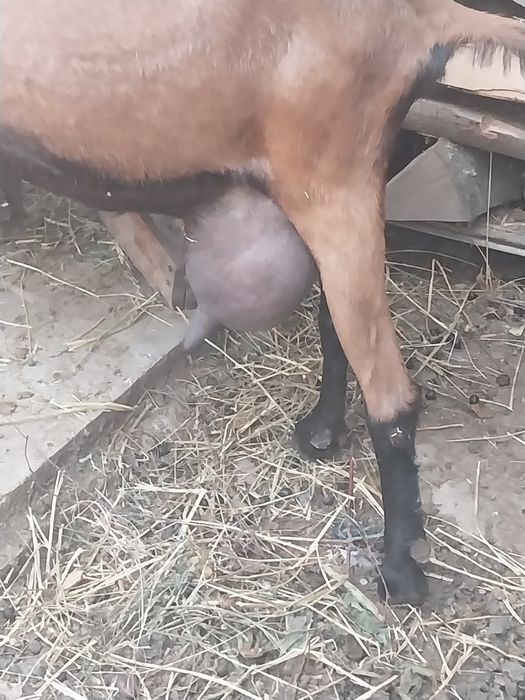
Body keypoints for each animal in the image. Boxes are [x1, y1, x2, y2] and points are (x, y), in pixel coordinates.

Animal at [1, 0, 524, 605]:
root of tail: (418, 15)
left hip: (330, 180)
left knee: (392, 398)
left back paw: (399, 570)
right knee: (337, 330)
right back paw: (320, 432)